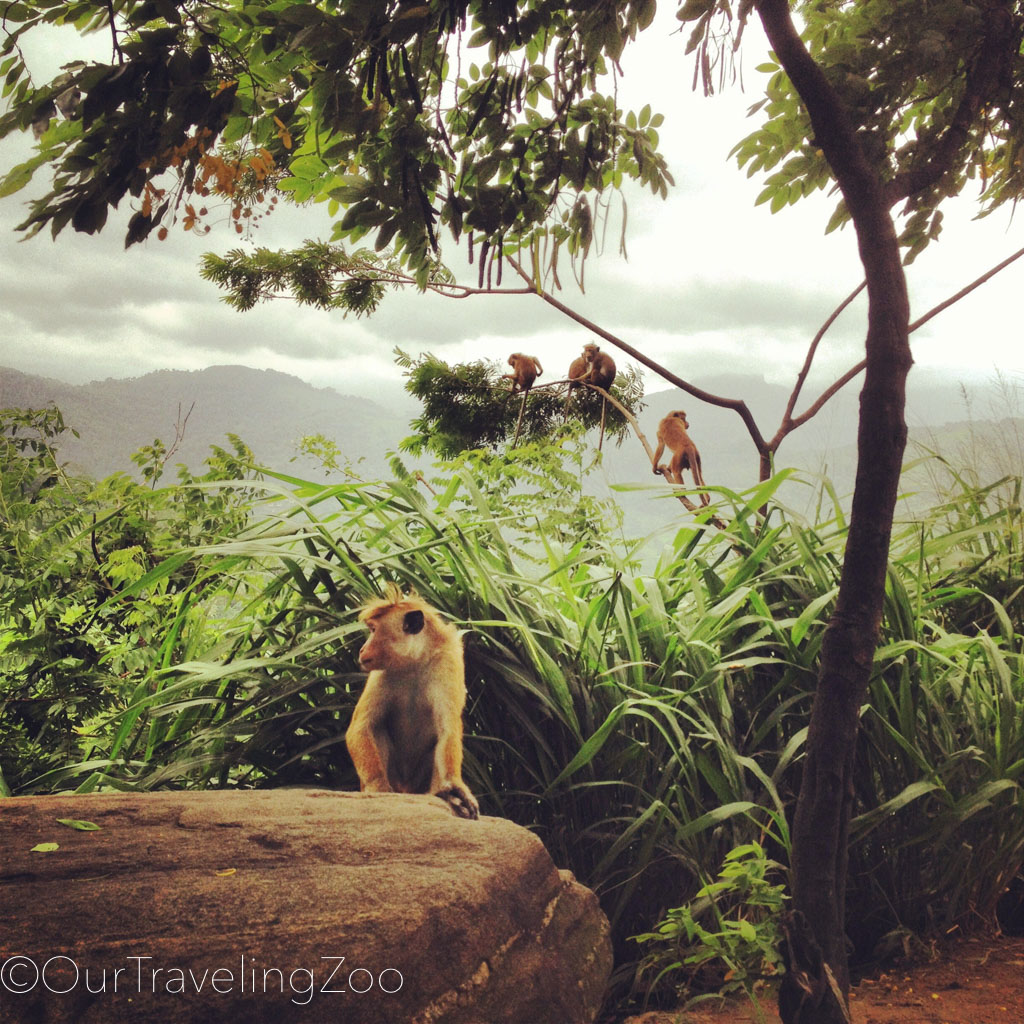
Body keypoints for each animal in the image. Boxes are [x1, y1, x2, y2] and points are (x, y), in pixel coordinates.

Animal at [344, 589, 479, 819]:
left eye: (374, 630)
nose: (362, 649)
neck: (414, 661)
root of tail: (407, 789)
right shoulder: (380, 673)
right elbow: (361, 727)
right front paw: (377, 786)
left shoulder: (448, 665)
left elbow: (448, 731)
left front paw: (454, 788)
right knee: (376, 729)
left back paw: (444, 795)